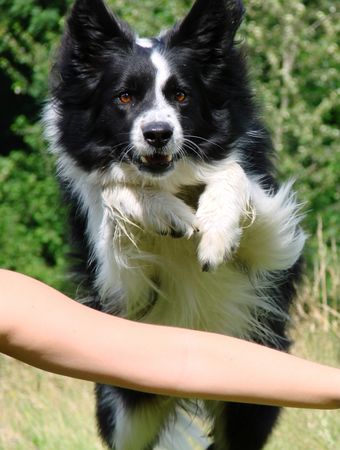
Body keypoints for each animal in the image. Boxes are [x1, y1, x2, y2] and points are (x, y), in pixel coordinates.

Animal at [44, 0, 306, 450]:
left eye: (181, 95)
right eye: (124, 96)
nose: (158, 134)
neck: (168, 180)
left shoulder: (275, 243)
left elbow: (232, 172)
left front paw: (215, 236)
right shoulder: (121, 288)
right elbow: (114, 191)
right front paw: (170, 214)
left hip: (253, 391)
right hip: (126, 409)